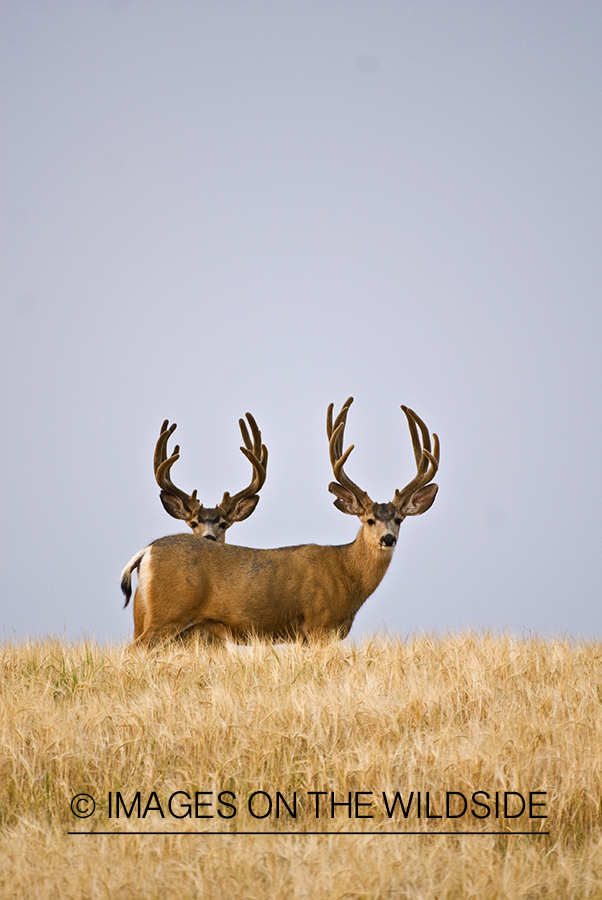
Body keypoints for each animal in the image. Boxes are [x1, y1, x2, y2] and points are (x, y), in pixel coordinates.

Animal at [121, 398, 439, 646]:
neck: (346, 573)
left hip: (148, 617)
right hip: (168, 613)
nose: (388, 538)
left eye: (399, 519)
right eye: (370, 519)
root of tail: (147, 551)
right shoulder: (319, 624)